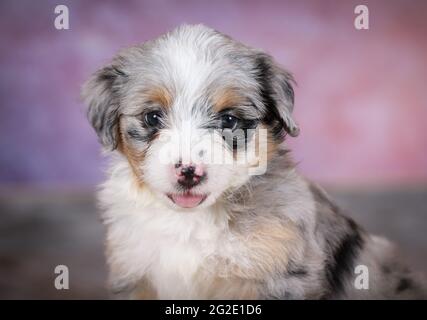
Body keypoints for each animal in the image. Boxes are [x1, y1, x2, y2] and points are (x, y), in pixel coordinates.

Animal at [82, 23, 426, 298]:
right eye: (152, 117)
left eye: (229, 119)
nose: (189, 172)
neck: (191, 221)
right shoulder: (135, 272)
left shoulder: (281, 276)